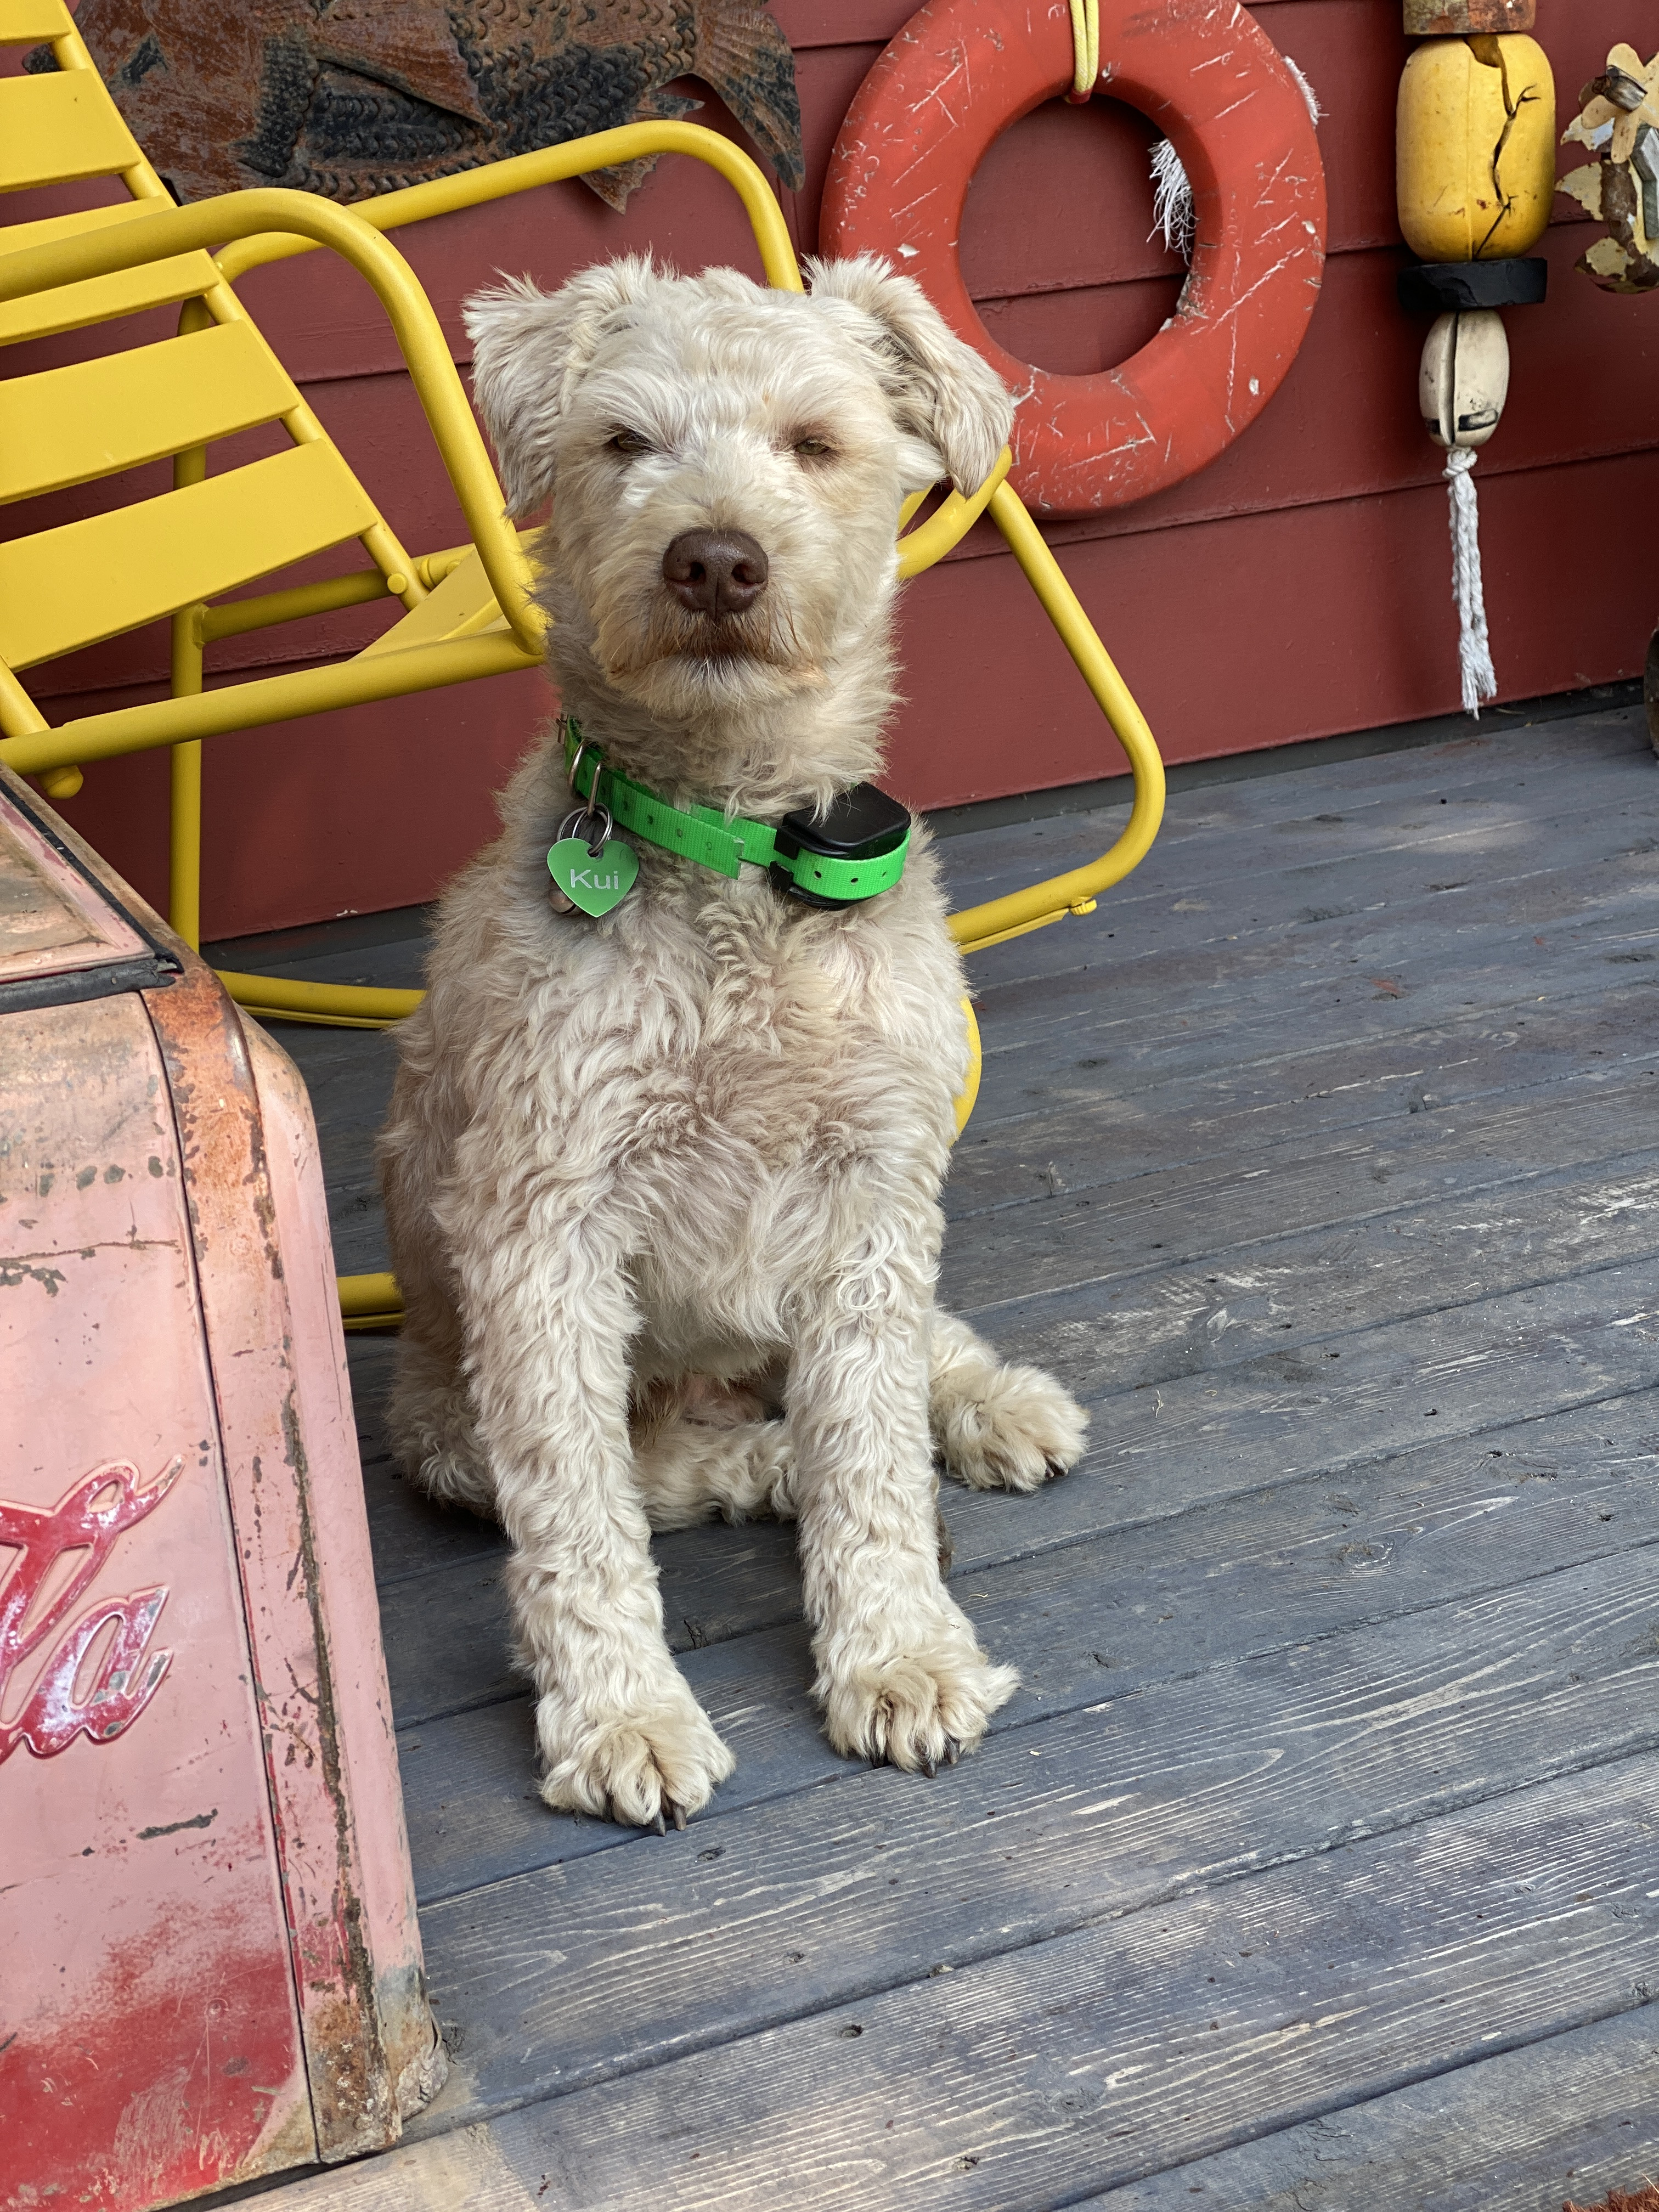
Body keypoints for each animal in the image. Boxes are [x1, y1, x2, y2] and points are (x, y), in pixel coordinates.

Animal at [378, 253, 1088, 1830]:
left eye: (816, 444)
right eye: (624, 442)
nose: (714, 561)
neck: (736, 852)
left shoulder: (874, 1185)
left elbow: (876, 1445)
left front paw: (901, 1656)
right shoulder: (541, 1228)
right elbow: (581, 1518)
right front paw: (623, 1720)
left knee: (900, 1366)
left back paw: (996, 1409)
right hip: (447, 1424)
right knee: (659, 1467)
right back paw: (768, 1465)